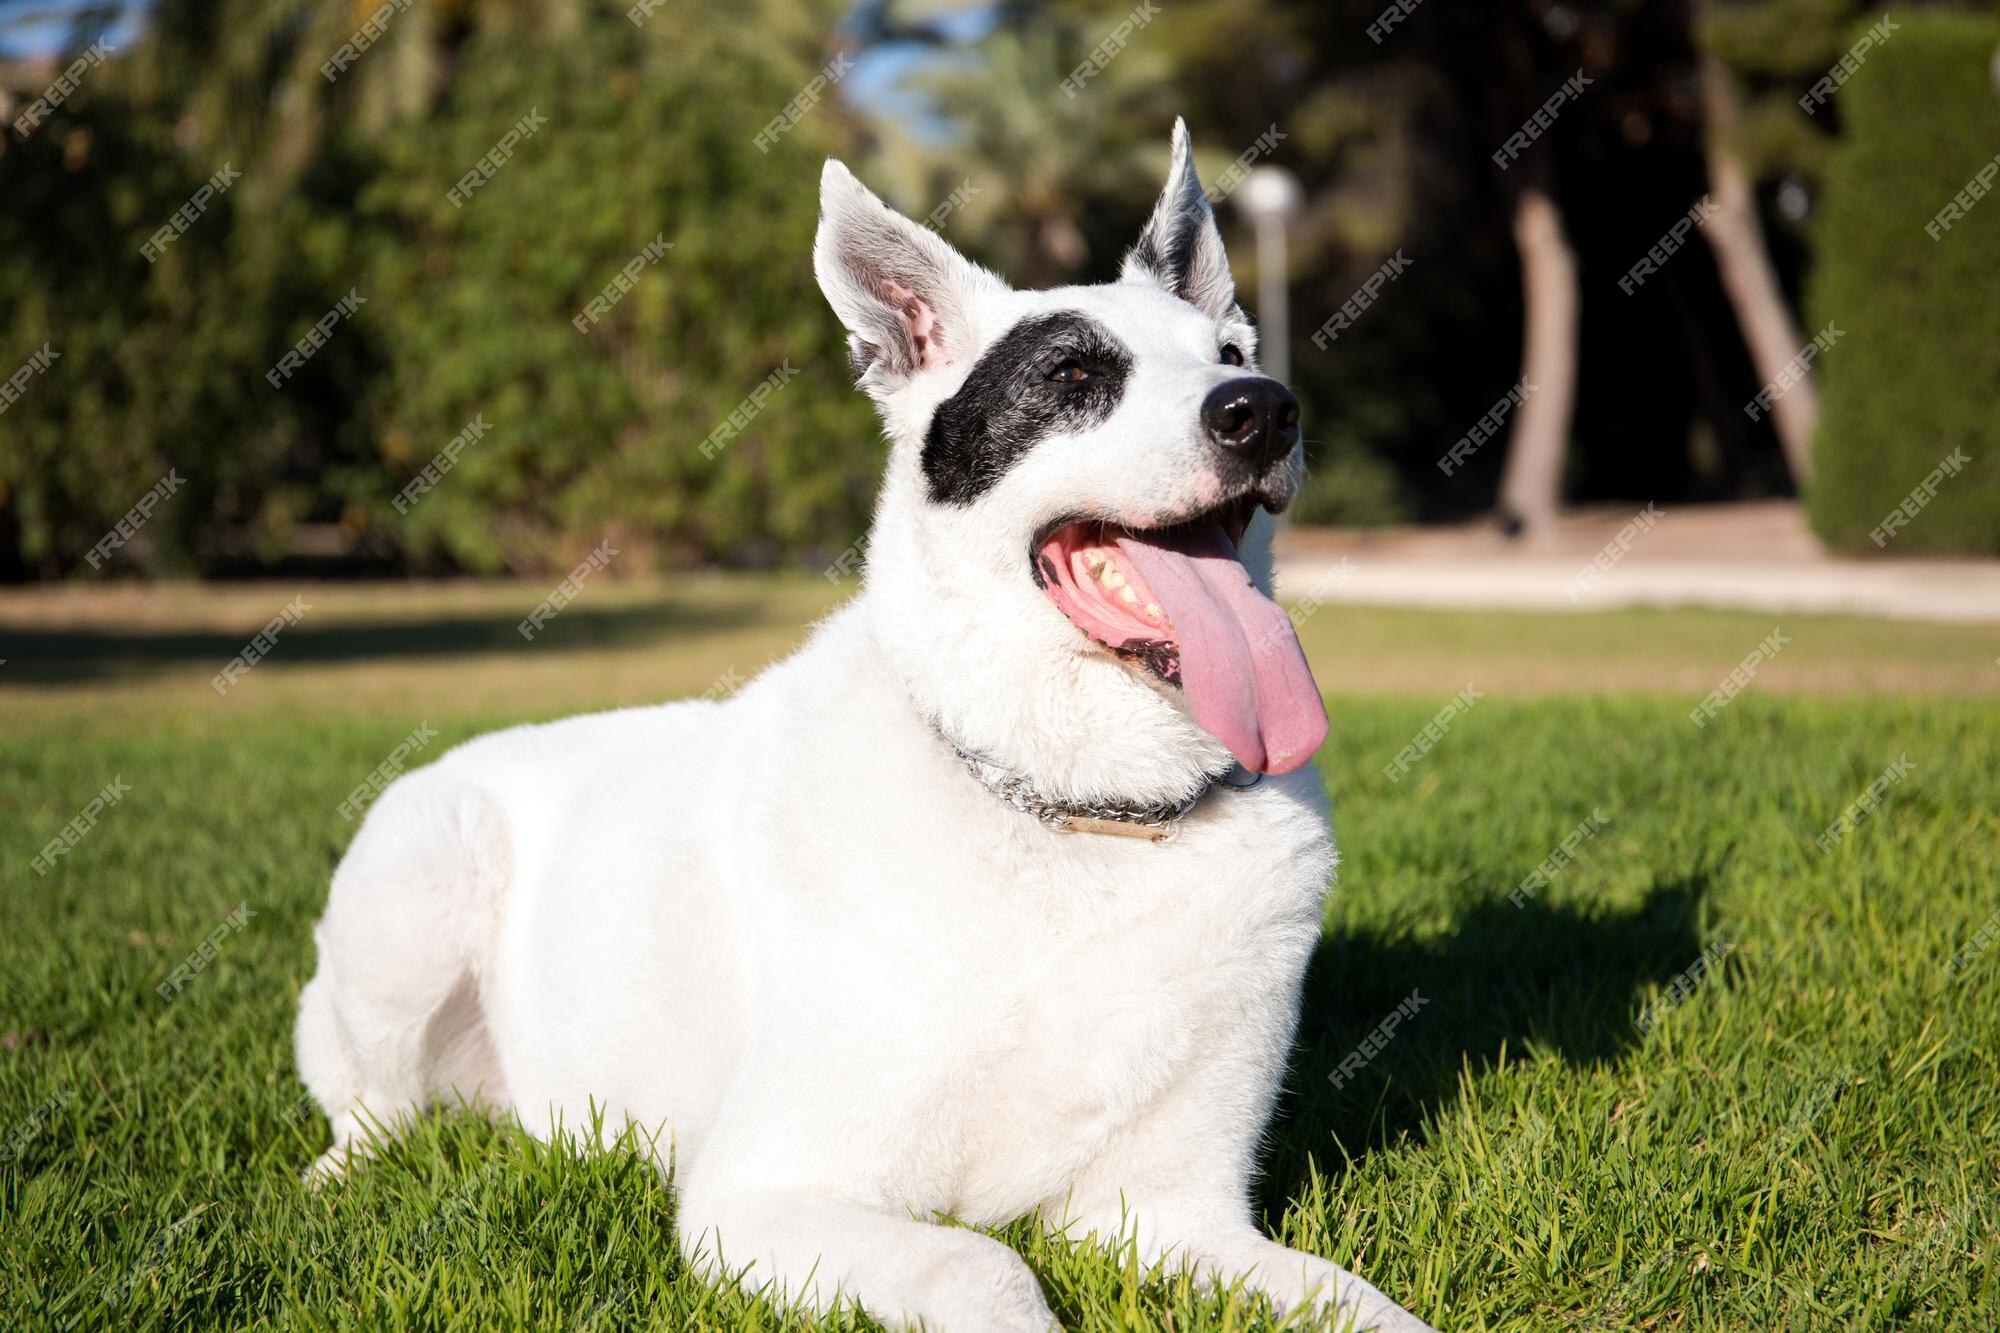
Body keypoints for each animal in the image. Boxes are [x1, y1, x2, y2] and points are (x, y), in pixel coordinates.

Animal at [300, 119, 1440, 1320]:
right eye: (1072, 374)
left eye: (1228, 352)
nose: (1264, 408)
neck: (1080, 808)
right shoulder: (762, 1197)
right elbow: (986, 1264)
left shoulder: (1170, 1215)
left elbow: (1357, 1302)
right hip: (421, 889)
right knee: (369, 1111)